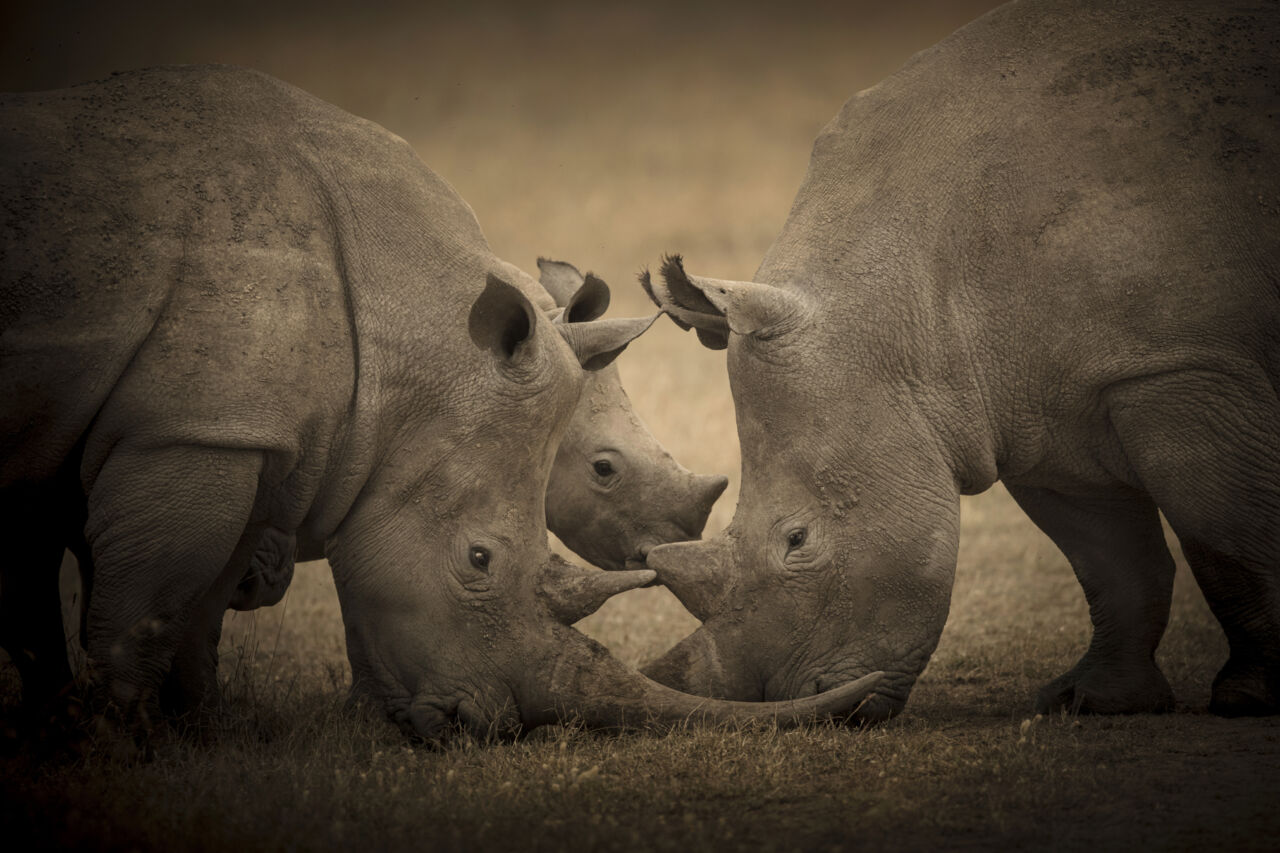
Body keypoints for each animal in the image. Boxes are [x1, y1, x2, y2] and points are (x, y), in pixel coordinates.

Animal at [641, 0, 1280, 720]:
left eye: (798, 540)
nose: (802, 704)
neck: (893, 307)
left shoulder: (1178, 365)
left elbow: (1225, 535)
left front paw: (1249, 696)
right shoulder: (1032, 407)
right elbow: (1111, 561)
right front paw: (1092, 699)